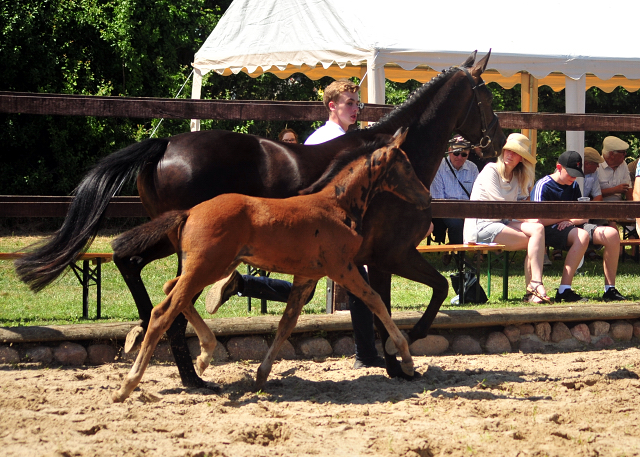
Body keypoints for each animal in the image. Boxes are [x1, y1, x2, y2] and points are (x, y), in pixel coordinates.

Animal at [111, 128, 430, 400]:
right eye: (407, 166)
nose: (427, 196)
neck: (336, 205)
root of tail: (189, 212)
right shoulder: (341, 266)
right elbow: (376, 300)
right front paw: (406, 358)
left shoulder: (307, 276)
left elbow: (287, 323)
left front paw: (261, 376)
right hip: (206, 267)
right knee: (163, 311)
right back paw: (128, 385)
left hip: (211, 267)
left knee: (170, 290)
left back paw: (204, 355)